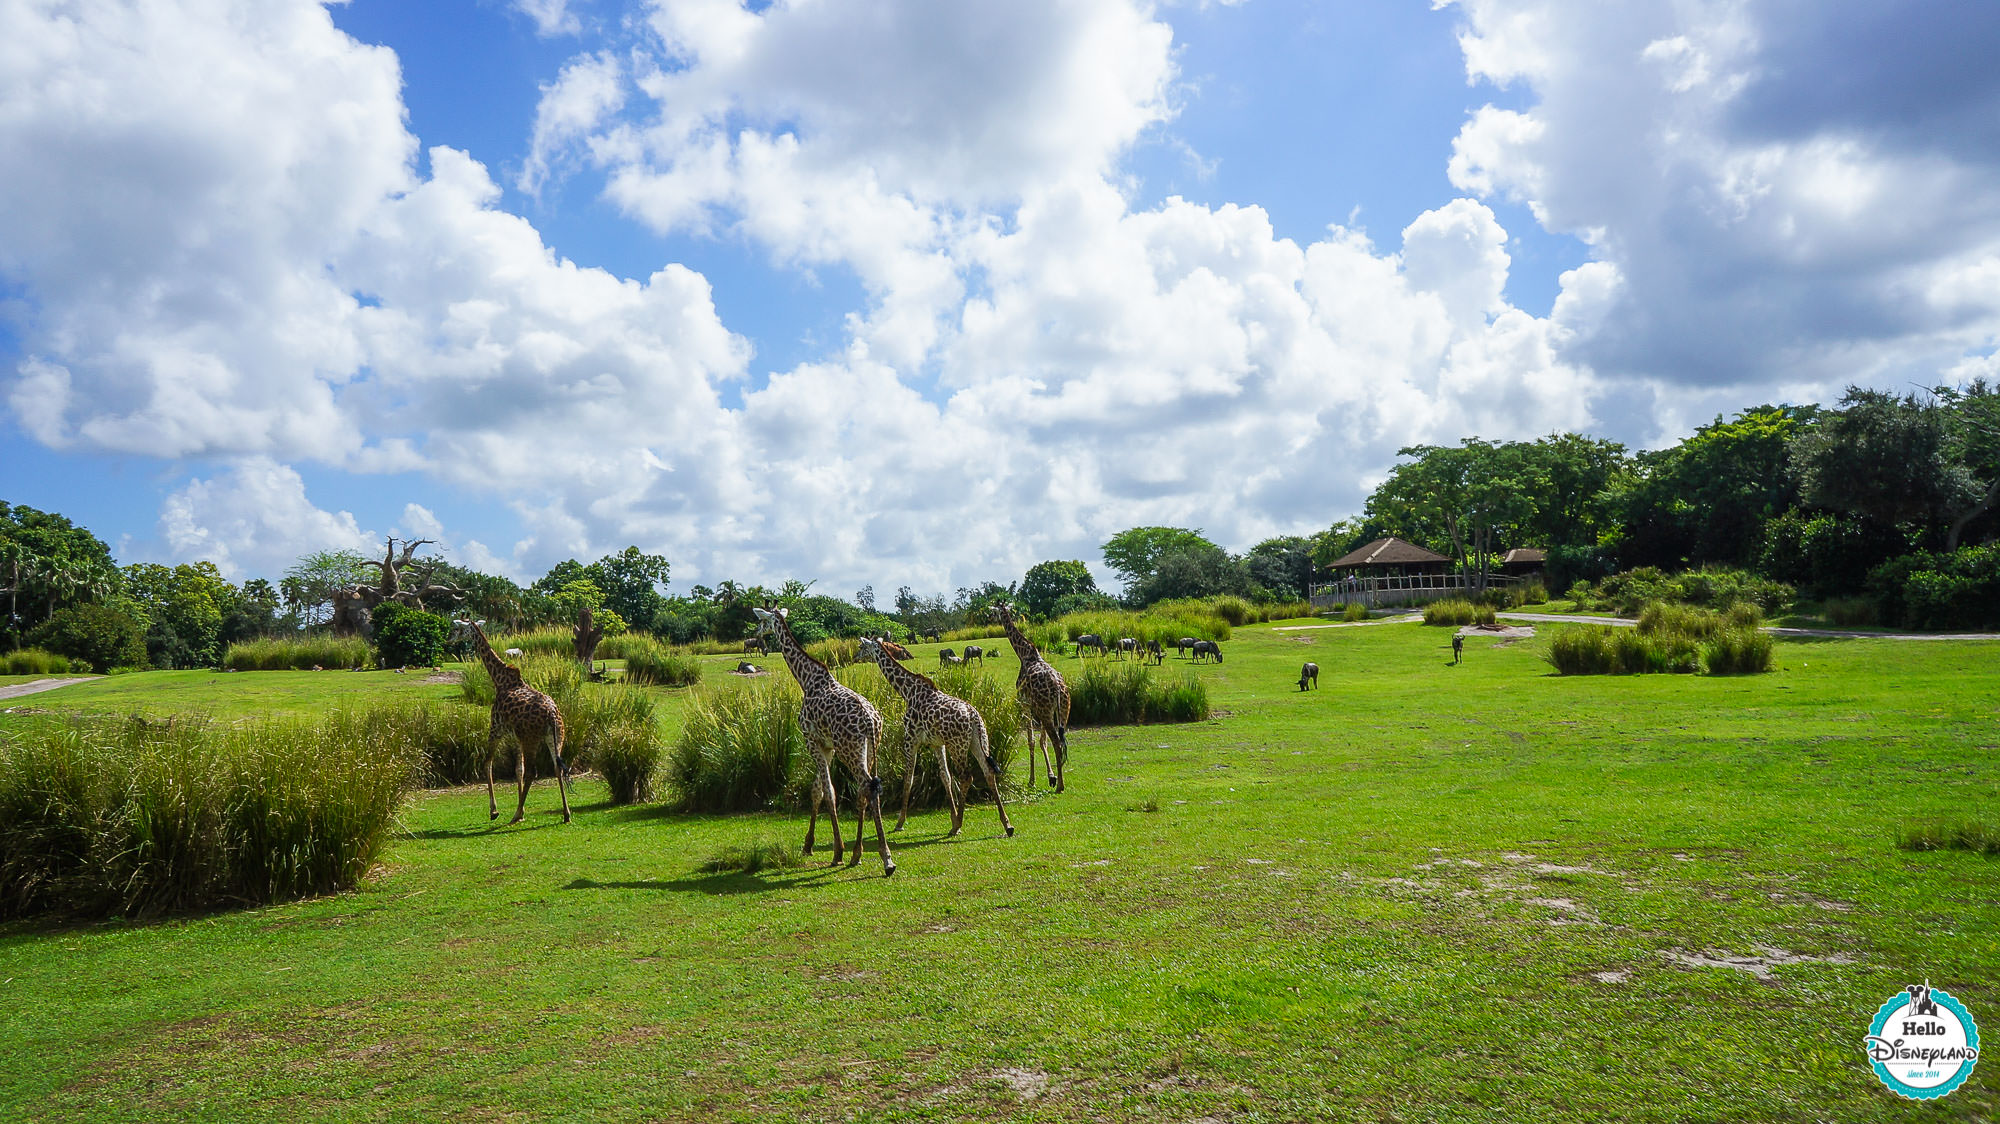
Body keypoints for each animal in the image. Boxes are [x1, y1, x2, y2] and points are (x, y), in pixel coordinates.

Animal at [466, 616, 568, 820]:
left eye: (456, 628)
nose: (449, 639)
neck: (499, 680)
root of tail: (551, 714)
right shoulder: (516, 737)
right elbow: (517, 769)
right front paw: (522, 811)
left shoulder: (495, 728)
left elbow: (487, 763)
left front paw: (495, 810)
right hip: (555, 736)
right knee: (557, 767)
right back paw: (566, 814)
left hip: (531, 739)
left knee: (532, 772)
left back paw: (514, 816)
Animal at [752, 604, 896, 876]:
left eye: (762, 621)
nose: (756, 634)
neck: (806, 679)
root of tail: (871, 722)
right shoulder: (828, 747)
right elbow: (817, 790)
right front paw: (809, 845)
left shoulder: (811, 740)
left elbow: (828, 791)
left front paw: (837, 851)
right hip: (872, 747)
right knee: (868, 789)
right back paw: (859, 853)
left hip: (850, 749)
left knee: (866, 786)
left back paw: (885, 859)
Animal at [860, 636, 1016, 836]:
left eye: (861, 646)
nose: (856, 656)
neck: (907, 691)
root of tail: (974, 716)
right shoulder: (936, 743)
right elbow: (945, 777)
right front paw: (952, 818)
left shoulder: (911, 739)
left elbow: (909, 778)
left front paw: (900, 822)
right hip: (978, 741)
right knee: (988, 771)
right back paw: (1007, 825)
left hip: (957, 745)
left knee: (966, 777)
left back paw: (959, 824)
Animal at [992, 604, 1072, 788]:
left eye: (994, 611)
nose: (991, 619)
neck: (1024, 654)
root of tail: (1058, 688)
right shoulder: (1040, 709)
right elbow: (1042, 741)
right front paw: (1051, 776)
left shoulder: (1025, 704)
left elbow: (1032, 741)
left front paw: (1032, 780)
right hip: (1062, 710)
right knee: (1061, 740)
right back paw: (1059, 781)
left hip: (1046, 711)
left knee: (1057, 742)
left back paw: (1060, 786)